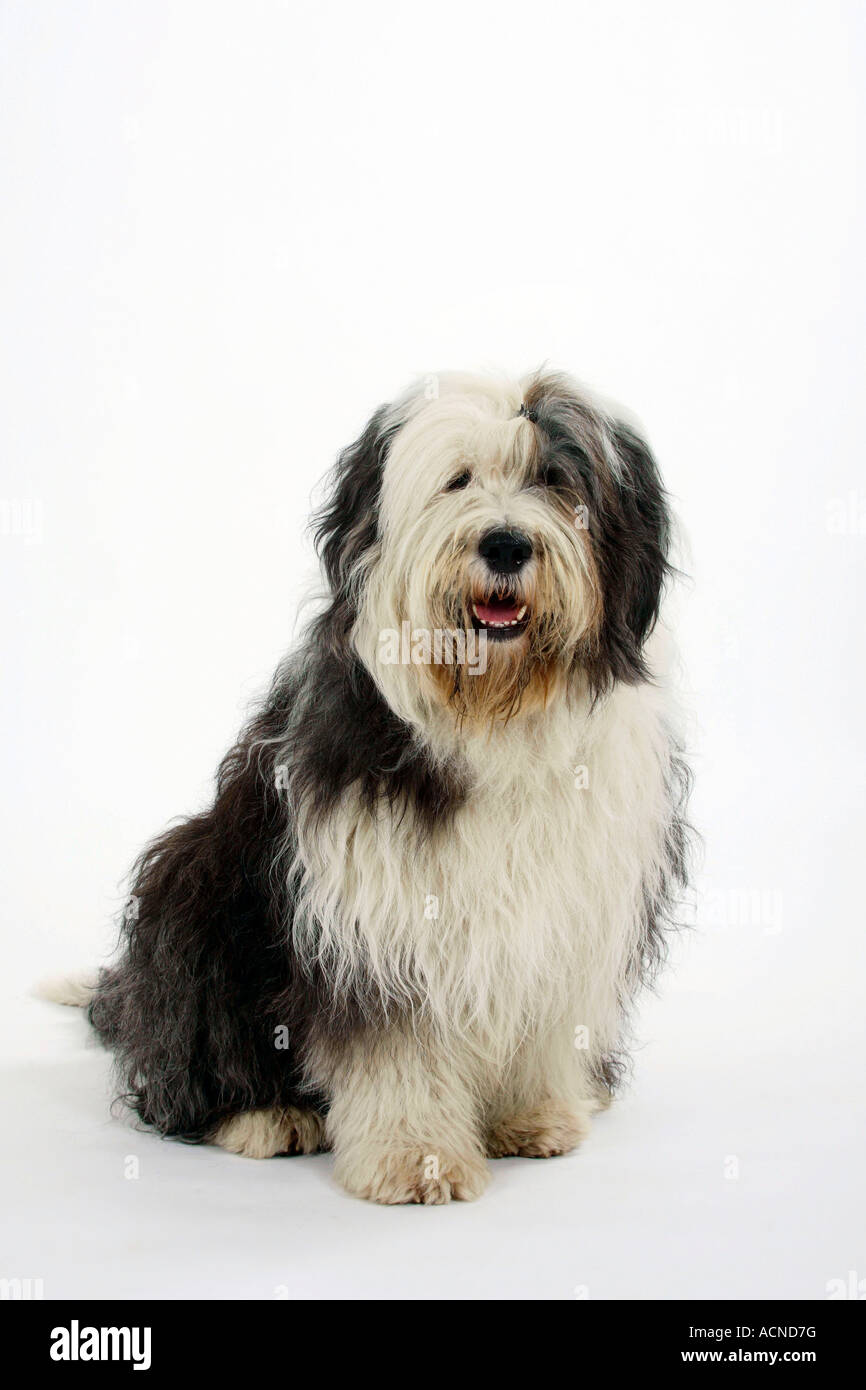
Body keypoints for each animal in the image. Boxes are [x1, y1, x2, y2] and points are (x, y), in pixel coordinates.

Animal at [45, 372, 692, 1206]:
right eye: (458, 480)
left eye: (557, 481)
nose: (506, 544)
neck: (492, 717)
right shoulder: (373, 913)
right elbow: (395, 1044)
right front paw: (416, 1158)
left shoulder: (565, 910)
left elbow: (540, 1014)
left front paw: (533, 1115)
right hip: (189, 884)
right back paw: (260, 1115)